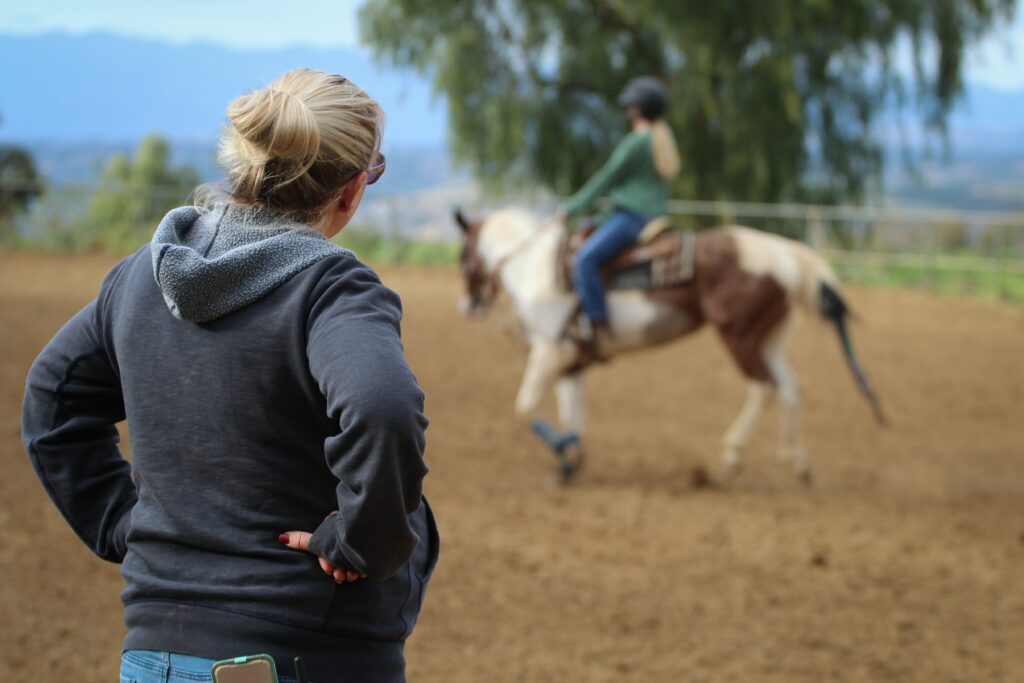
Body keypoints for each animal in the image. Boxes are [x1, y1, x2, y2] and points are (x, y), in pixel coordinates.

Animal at [452, 210, 884, 483]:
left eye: (462, 256)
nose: (469, 305)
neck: (533, 269)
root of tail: (786, 253)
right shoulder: (570, 360)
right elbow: (572, 412)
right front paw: (568, 463)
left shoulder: (549, 351)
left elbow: (526, 408)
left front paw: (565, 449)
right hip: (769, 339)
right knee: (791, 390)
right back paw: (798, 463)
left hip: (739, 337)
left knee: (764, 387)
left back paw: (732, 455)